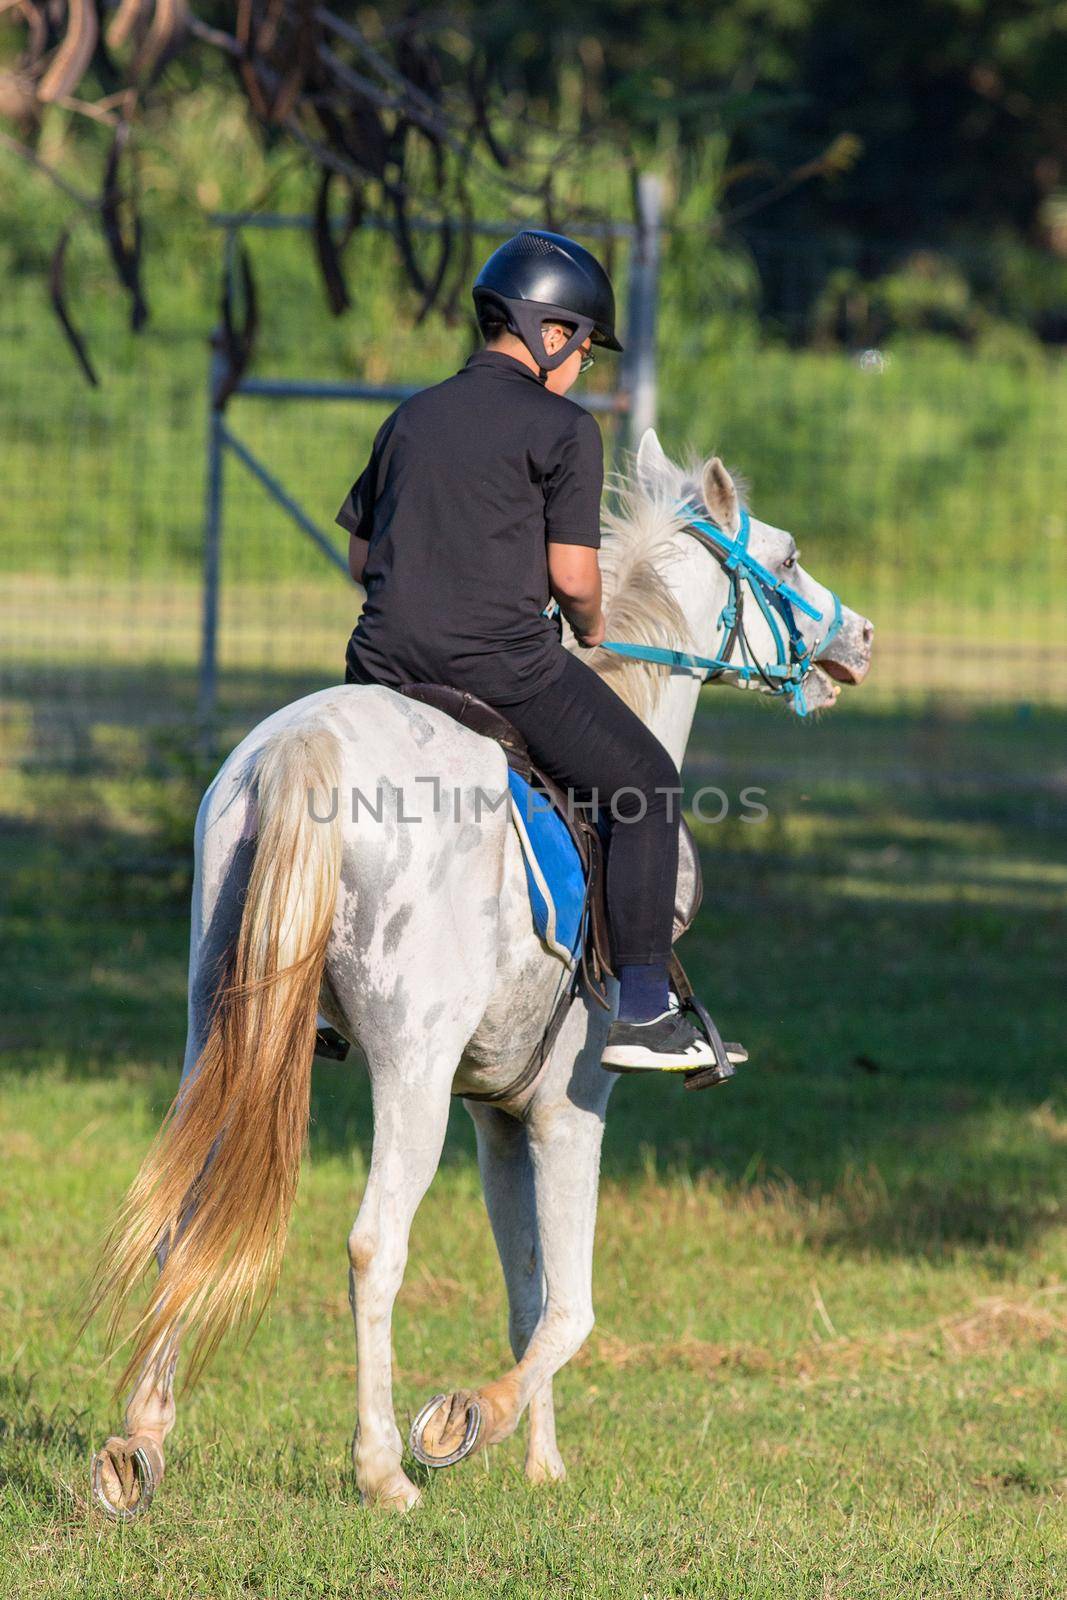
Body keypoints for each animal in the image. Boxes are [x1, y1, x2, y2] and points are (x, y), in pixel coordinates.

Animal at [87, 435, 876, 1510]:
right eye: (787, 559)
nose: (862, 637)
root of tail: (306, 746)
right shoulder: (570, 1109)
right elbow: (570, 1307)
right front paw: (467, 1422)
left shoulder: (500, 1115)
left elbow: (526, 1297)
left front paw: (540, 1464)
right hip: (410, 1074)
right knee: (374, 1246)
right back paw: (384, 1472)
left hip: (219, 1038)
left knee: (182, 1219)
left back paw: (140, 1445)